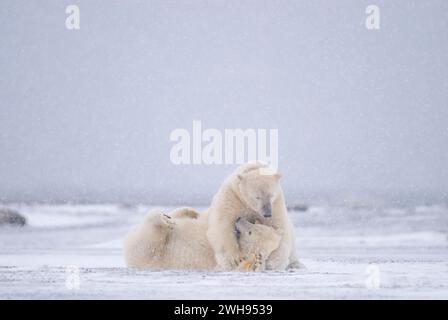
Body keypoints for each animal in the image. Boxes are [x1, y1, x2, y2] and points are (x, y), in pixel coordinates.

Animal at [124, 208, 282, 270]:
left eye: (249, 232)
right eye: (255, 225)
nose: (239, 218)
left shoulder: (225, 263)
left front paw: (256, 262)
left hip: (152, 253)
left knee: (151, 237)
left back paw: (163, 220)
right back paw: (186, 212)